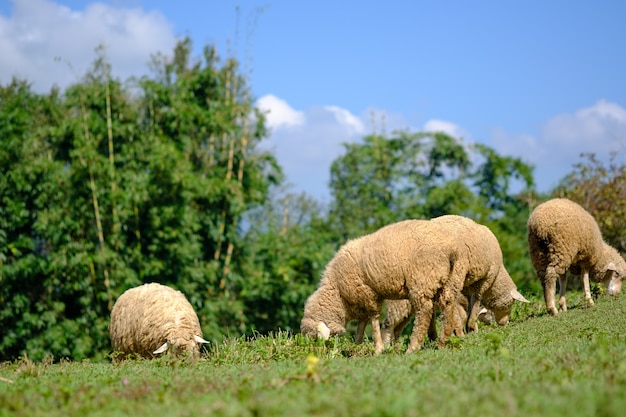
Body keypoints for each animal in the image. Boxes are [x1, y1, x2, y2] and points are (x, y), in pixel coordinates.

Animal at [300, 216, 524, 352]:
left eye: (315, 338)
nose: (318, 353)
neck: (337, 291)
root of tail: (451, 247)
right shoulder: (361, 300)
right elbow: (363, 323)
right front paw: (358, 344)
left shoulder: (368, 295)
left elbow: (373, 320)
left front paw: (378, 348)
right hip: (449, 280)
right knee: (447, 306)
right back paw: (442, 341)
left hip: (422, 280)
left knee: (424, 312)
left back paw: (414, 347)